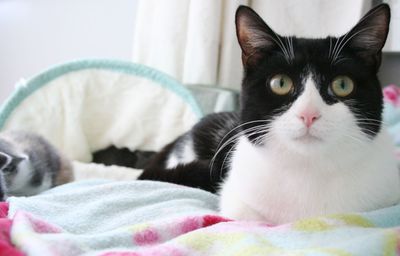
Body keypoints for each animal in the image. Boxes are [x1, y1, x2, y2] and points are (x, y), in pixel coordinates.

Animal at [138, 4, 400, 224]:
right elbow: (248, 217)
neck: (308, 167)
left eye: (342, 85)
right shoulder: (234, 192)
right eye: (280, 83)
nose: (309, 114)